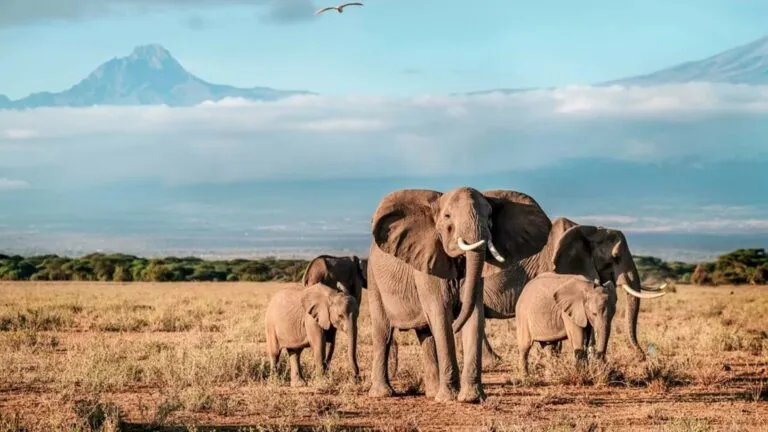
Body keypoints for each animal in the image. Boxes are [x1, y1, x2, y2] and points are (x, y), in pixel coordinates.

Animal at [366, 187, 551, 403]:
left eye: (490, 216)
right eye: (447, 217)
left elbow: (474, 315)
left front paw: (472, 398)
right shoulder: (427, 265)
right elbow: (440, 315)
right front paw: (448, 398)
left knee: (426, 335)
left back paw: (432, 393)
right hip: (374, 280)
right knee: (383, 332)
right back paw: (383, 394)